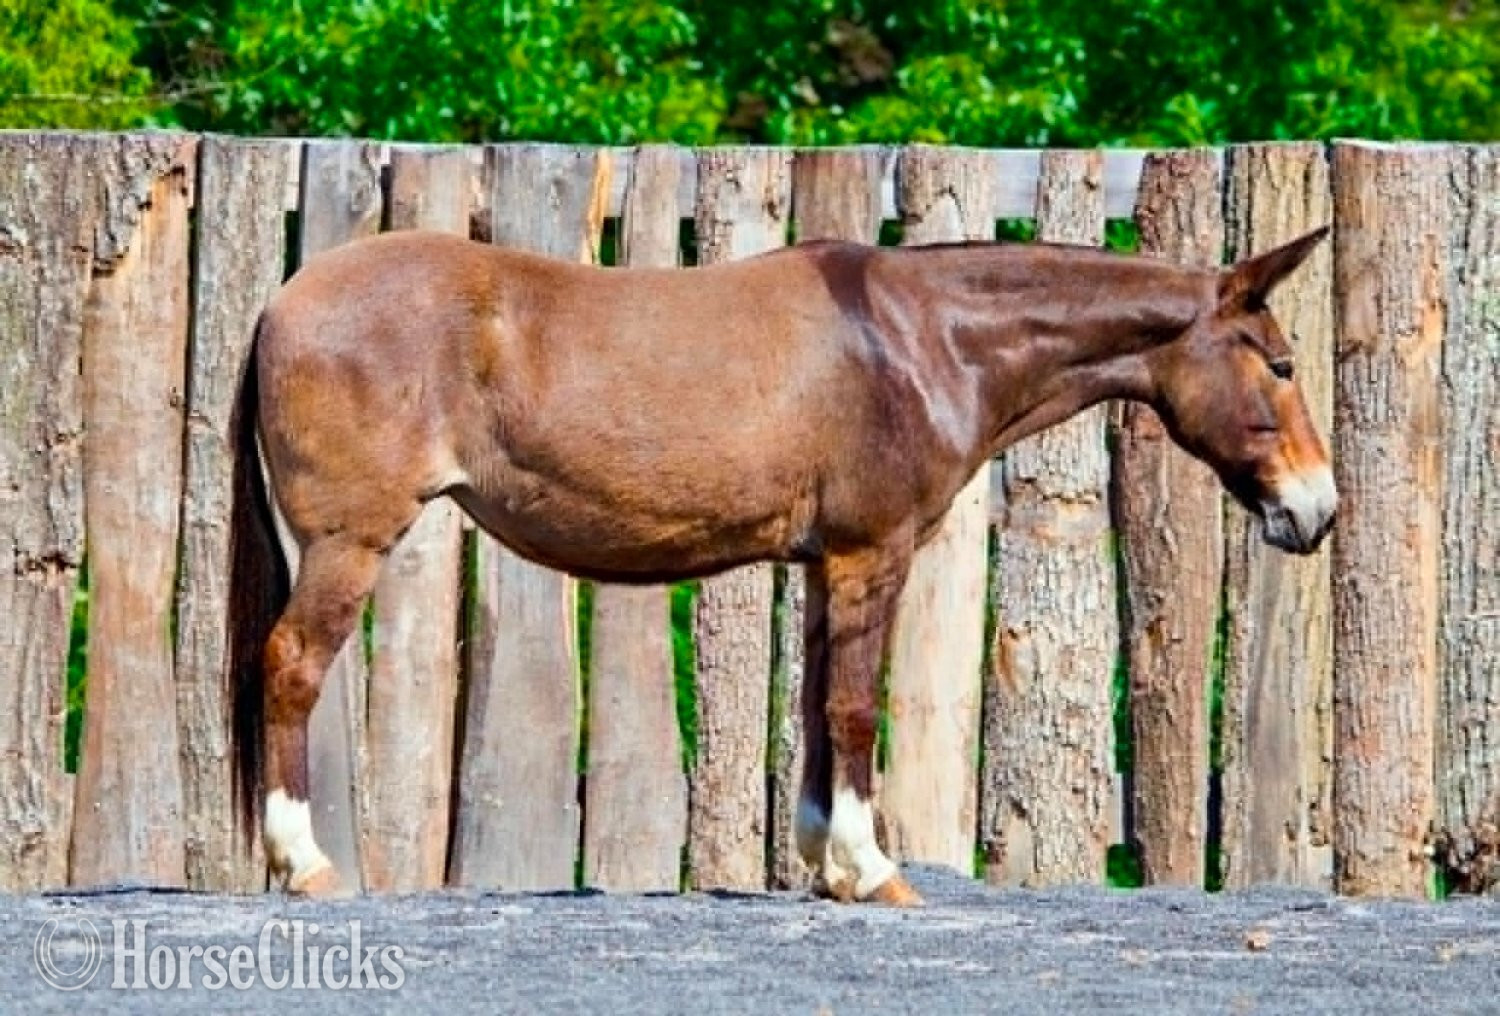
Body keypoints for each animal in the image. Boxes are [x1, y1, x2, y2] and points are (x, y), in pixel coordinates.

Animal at [227, 224, 1336, 906]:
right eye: (1281, 363)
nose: (1318, 510)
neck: (920, 338)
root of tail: (281, 303)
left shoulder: (820, 562)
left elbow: (813, 702)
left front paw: (825, 864)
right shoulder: (871, 551)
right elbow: (853, 705)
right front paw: (872, 867)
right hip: (349, 544)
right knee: (290, 666)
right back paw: (305, 863)